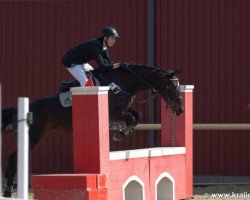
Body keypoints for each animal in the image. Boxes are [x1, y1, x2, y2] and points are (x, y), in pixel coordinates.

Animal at [0, 63, 184, 198]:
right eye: (170, 85)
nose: (180, 109)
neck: (123, 84)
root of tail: (21, 109)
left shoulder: (124, 109)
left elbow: (136, 116)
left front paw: (121, 131)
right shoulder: (114, 112)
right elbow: (131, 119)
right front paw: (120, 133)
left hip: (39, 135)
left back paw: (8, 190)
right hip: (34, 136)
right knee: (13, 158)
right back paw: (8, 191)